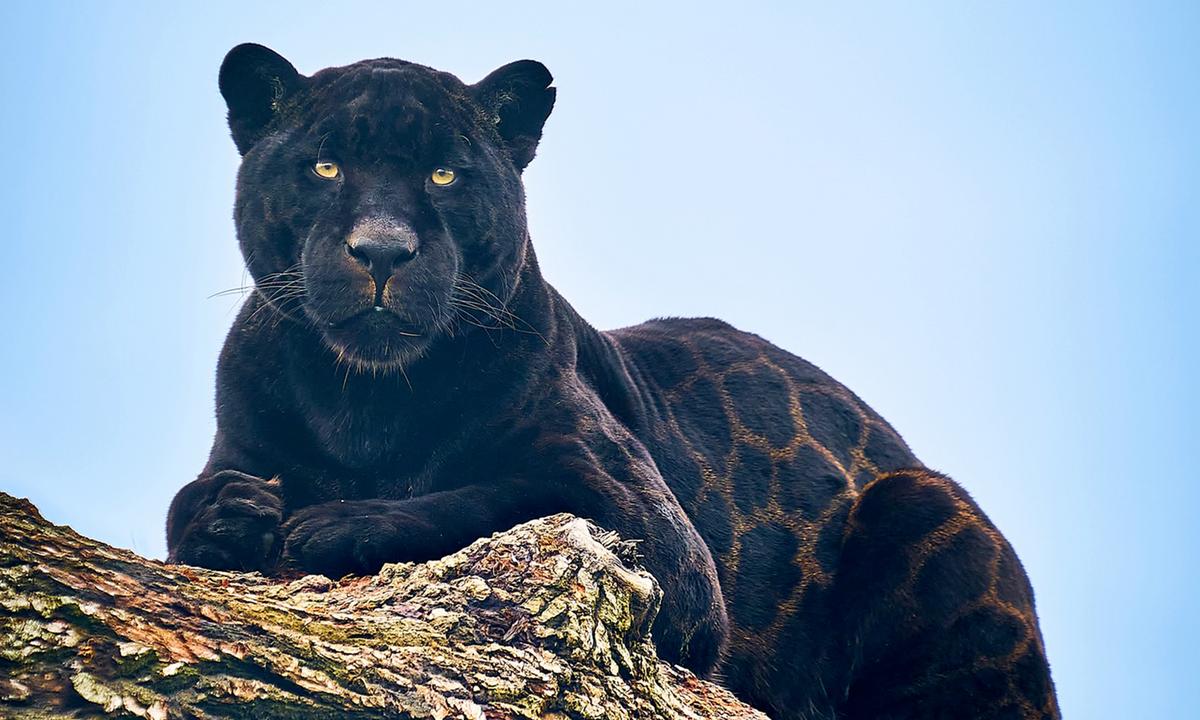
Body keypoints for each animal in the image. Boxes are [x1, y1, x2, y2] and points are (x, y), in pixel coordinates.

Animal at [166, 43, 1059, 719]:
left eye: (444, 177)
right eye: (324, 166)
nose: (382, 249)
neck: (366, 407)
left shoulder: (659, 544)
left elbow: (509, 497)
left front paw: (337, 523)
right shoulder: (240, 441)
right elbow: (186, 505)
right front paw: (233, 511)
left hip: (923, 501)